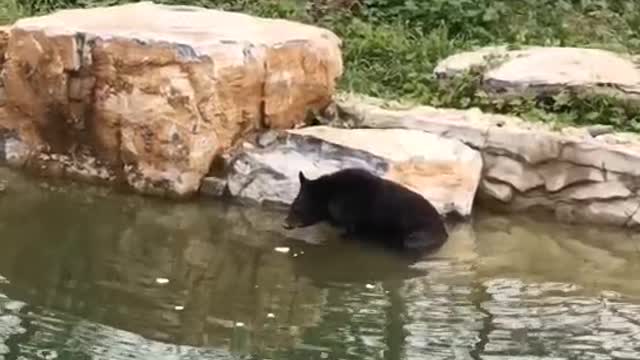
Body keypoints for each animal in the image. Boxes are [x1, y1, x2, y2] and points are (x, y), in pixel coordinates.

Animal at [282, 167, 448, 253]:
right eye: (293, 203)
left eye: (297, 208)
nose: (285, 223)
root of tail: (444, 232)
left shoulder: (351, 215)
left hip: (418, 235)